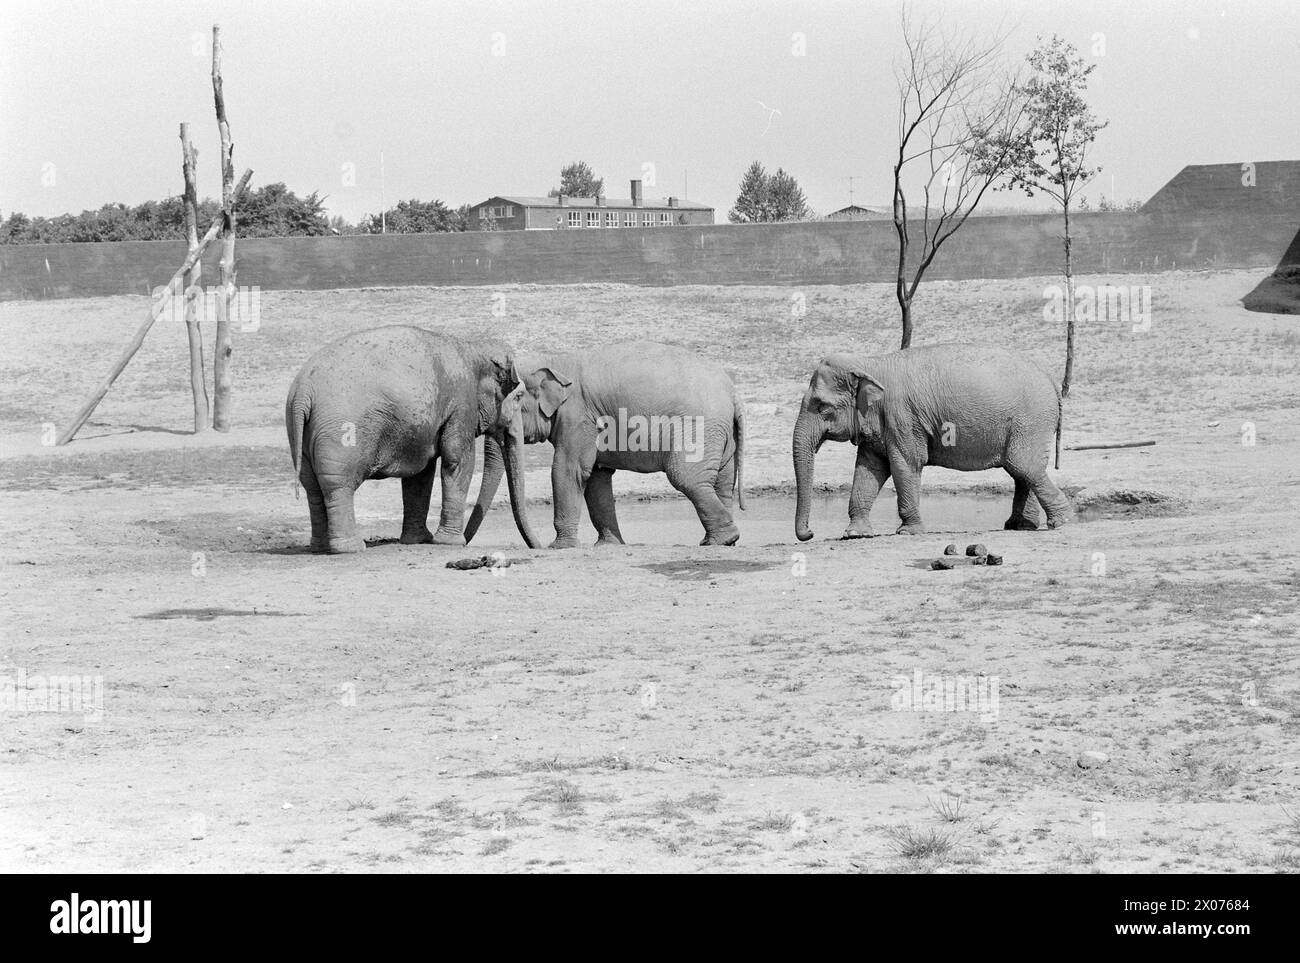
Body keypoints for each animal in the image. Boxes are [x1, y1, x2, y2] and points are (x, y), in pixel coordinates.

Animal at [287, 323, 540, 551]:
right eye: (519, 397)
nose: (538, 547)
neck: (471, 347)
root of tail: (303, 391)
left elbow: (421, 473)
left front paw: (420, 540)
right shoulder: (461, 404)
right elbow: (457, 462)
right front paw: (450, 543)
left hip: (300, 433)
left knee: (312, 487)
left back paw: (320, 547)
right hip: (340, 433)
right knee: (338, 485)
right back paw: (351, 548)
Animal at [462, 343, 748, 548]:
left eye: (517, 399)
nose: (537, 546)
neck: (555, 361)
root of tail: (733, 394)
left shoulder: (578, 417)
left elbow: (568, 471)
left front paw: (561, 547)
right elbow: (597, 478)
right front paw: (609, 545)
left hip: (700, 427)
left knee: (686, 477)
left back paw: (724, 539)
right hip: (721, 435)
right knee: (721, 482)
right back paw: (717, 540)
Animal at [790, 343, 1066, 540]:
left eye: (822, 406)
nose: (810, 533)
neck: (872, 362)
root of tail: (1051, 379)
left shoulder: (902, 418)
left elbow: (905, 464)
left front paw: (908, 532)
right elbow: (868, 469)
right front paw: (855, 535)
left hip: (1031, 420)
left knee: (1024, 465)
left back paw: (1059, 522)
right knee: (1021, 470)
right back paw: (1019, 526)